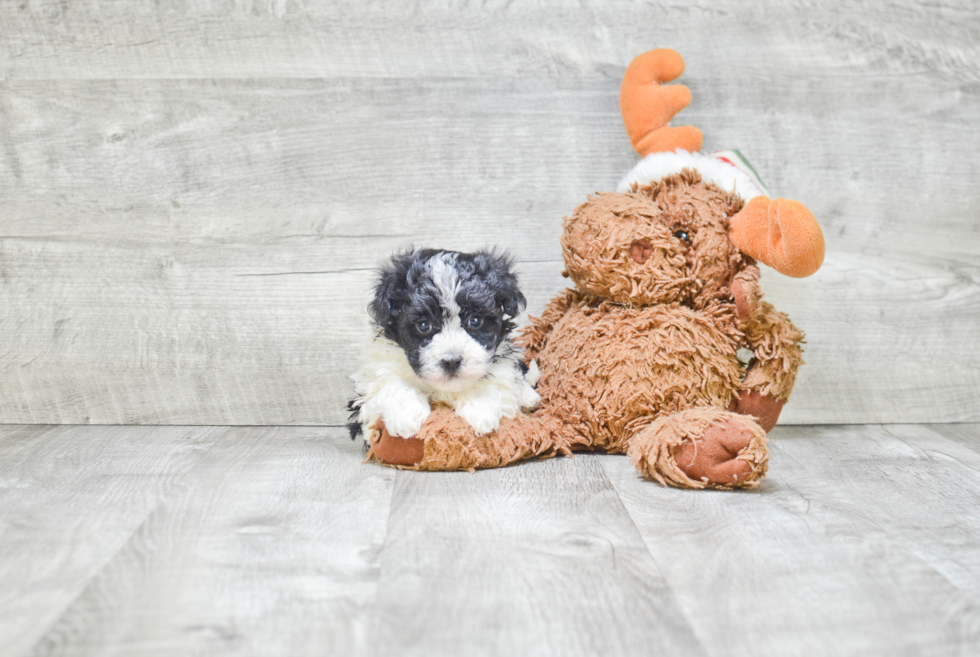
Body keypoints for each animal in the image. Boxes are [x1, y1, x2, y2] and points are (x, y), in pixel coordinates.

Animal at [348, 249, 540, 444]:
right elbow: (391, 382)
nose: (452, 361)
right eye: (424, 325)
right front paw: (407, 415)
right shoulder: (372, 381)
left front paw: (480, 409)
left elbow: (496, 381)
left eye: (475, 321)